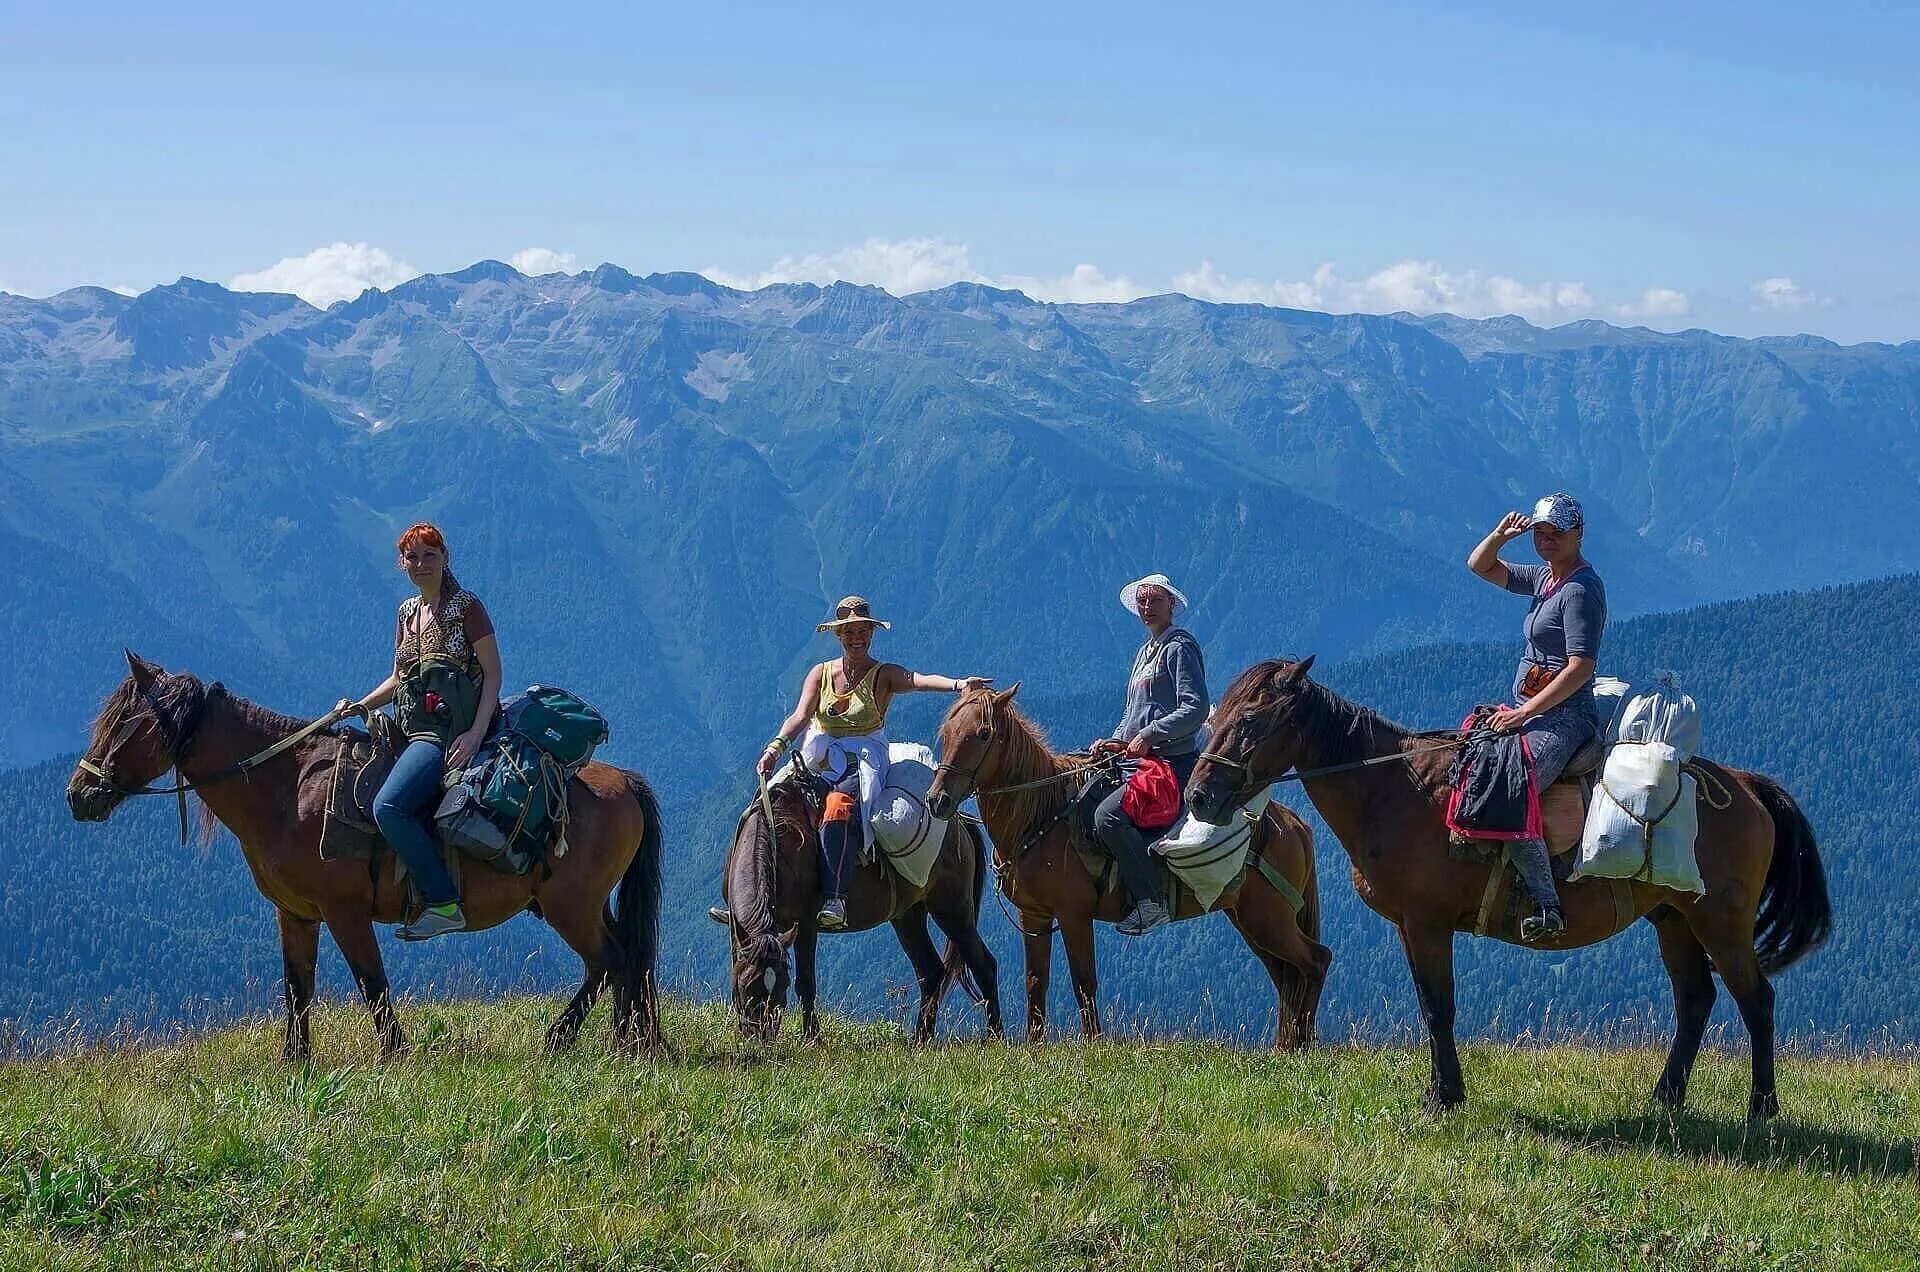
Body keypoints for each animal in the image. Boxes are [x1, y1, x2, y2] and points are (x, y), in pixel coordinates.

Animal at [65, 653, 668, 1060]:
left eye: (125, 724)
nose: (79, 794)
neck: (286, 790)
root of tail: (624, 779)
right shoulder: (295, 913)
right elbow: (297, 988)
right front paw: (295, 1063)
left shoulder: (344, 911)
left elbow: (370, 981)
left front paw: (396, 1054)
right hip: (584, 903)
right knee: (623, 957)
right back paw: (620, 1039)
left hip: (571, 906)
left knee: (609, 959)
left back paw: (573, 1039)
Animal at [721, 768, 1006, 1045]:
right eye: (747, 986)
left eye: (782, 986)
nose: (762, 1037)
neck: (781, 844)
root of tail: (961, 823)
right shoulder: (740, 927)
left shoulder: (806, 923)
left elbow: (806, 983)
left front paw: (812, 1039)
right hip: (908, 915)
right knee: (931, 971)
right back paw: (920, 1040)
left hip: (952, 908)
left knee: (984, 964)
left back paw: (994, 1036)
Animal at [921, 691, 1328, 1052]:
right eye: (948, 733)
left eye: (983, 734)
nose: (938, 799)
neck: (1041, 815)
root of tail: (1292, 824)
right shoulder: (1033, 915)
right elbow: (1035, 981)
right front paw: (1034, 1046)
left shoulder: (1073, 915)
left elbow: (1084, 980)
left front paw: (1092, 1044)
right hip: (1253, 921)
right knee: (1287, 976)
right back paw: (1285, 1045)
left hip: (1268, 919)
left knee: (1315, 961)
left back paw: (1302, 1044)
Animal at [1182, 660, 1827, 1122]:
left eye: (1249, 722)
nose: (1198, 797)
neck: (1396, 791)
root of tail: (1745, 787)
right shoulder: (1410, 927)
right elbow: (1431, 1006)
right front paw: (1444, 1091)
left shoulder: (1426, 923)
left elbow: (1439, 1006)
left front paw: (1442, 1098)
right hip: (1673, 918)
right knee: (1695, 1000)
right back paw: (1663, 1100)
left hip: (1720, 920)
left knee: (1757, 1001)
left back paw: (1762, 1111)